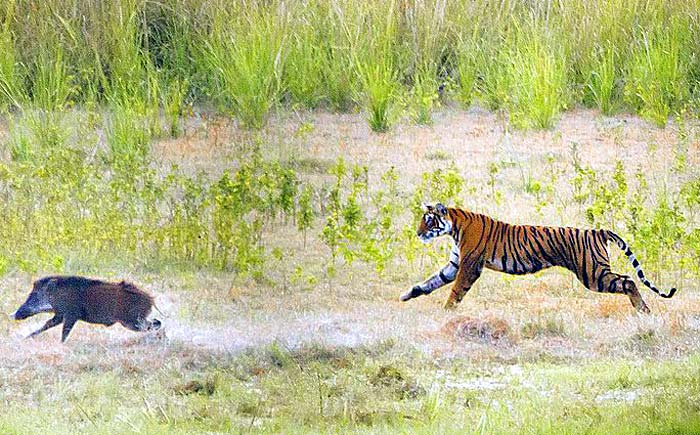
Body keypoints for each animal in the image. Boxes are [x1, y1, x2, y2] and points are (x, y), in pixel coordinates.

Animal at [13, 275, 162, 342]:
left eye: (34, 296)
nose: (15, 315)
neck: (56, 295)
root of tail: (151, 299)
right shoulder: (60, 315)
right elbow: (47, 324)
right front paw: (25, 338)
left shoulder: (71, 315)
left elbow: (64, 332)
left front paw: (61, 344)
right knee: (156, 322)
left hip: (132, 321)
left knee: (155, 323)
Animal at [400, 203, 677, 313]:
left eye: (429, 221)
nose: (418, 233)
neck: (454, 226)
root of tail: (597, 230)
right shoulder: (455, 263)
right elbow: (431, 281)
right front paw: (407, 295)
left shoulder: (469, 265)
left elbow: (456, 289)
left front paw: (447, 311)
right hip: (595, 272)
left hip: (592, 273)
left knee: (628, 281)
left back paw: (643, 310)